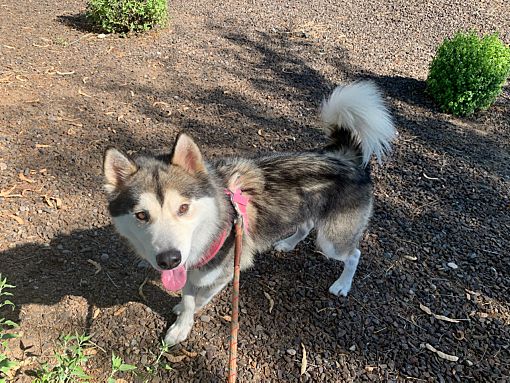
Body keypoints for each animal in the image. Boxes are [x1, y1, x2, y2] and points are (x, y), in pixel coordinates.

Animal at [103, 81, 396, 344]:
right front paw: (181, 321)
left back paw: (343, 284)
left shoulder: (224, 271)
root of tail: (347, 158)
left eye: (183, 208)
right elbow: (187, 297)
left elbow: (199, 297)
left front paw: (184, 322)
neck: (212, 227)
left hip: (332, 240)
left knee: (354, 254)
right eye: (141, 215)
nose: (169, 259)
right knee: (305, 225)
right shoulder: (189, 268)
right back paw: (288, 243)